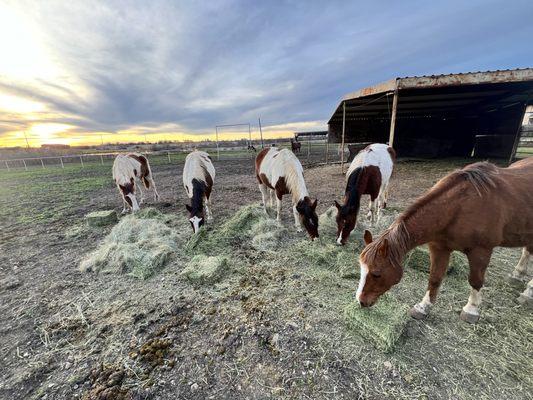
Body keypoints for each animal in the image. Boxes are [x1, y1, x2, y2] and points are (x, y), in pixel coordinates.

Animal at [356, 158, 533, 324]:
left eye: (376, 273)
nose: (361, 302)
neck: (459, 208)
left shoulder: (481, 251)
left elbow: (475, 280)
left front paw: (471, 310)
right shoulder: (439, 248)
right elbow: (435, 278)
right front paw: (423, 307)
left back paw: (528, 292)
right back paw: (517, 276)